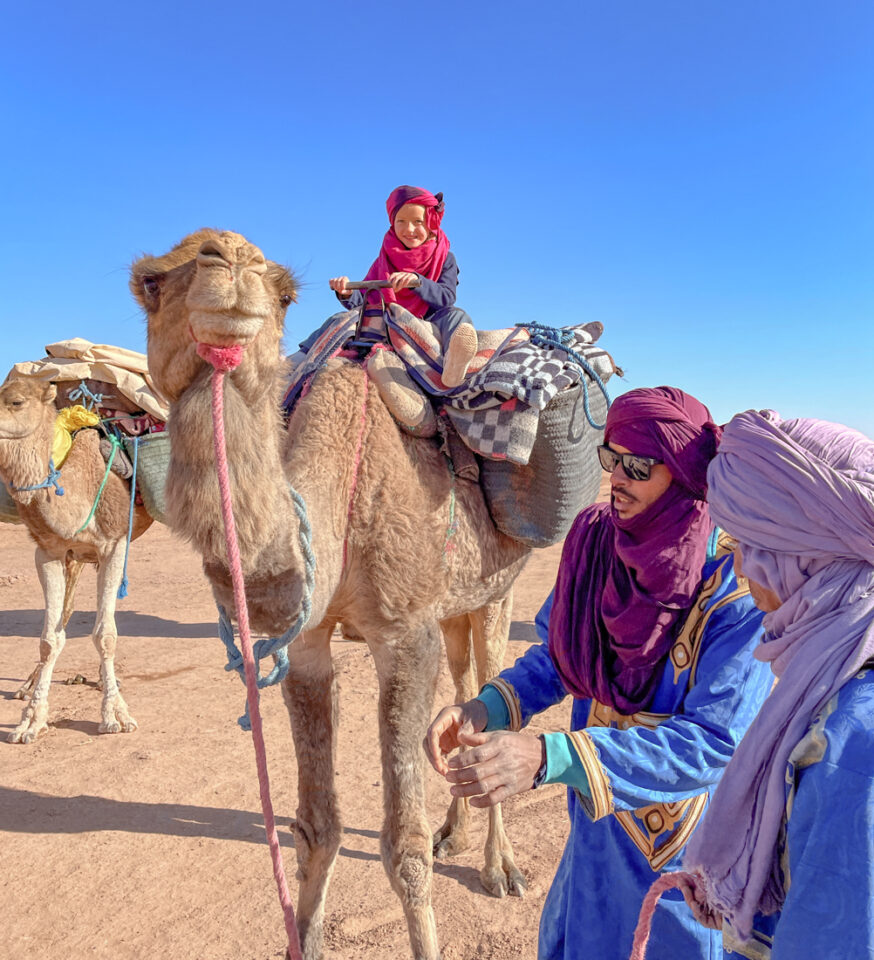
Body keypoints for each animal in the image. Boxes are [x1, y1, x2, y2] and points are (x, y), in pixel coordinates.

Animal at [0, 376, 152, 744]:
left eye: (16, 402)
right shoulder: (50, 552)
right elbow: (49, 639)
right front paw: (30, 722)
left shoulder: (114, 544)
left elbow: (105, 635)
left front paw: (116, 716)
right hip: (77, 557)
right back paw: (27, 686)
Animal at [132, 231, 536, 960]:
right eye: (150, 283)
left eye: (284, 290)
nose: (226, 258)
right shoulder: (310, 642)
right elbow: (315, 829)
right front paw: (308, 936)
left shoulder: (403, 633)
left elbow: (403, 848)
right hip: (455, 604)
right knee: (466, 689)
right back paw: (457, 832)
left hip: (499, 592)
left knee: (495, 692)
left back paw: (501, 869)